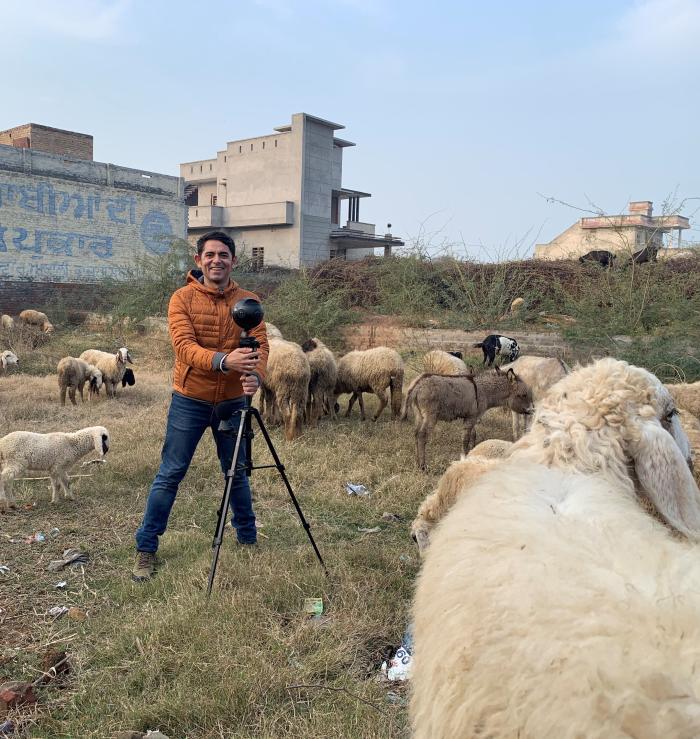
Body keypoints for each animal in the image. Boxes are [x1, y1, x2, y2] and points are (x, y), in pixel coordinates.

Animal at [404, 368, 532, 472]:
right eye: (523, 395)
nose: (532, 410)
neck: (483, 390)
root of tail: (417, 385)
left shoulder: (473, 417)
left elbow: (473, 435)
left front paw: (472, 452)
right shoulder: (471, 418)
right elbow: (465, 439)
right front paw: (464, 457)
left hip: (419, 415)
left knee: (416, 434)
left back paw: (417, 462)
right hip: (431, 416)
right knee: (422, 435)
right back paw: (423, 466)